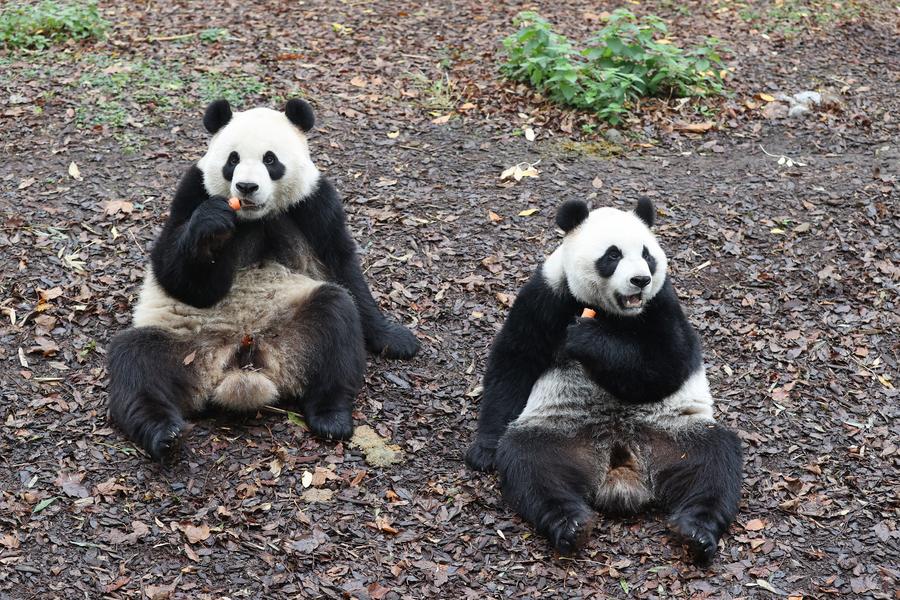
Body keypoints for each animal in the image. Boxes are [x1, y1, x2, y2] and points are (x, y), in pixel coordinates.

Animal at [107, 98, 420, 461]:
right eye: (232, 160)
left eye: (270, 160)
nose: (246, 187)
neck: (253, 217)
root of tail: (241, 363)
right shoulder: (193, 191)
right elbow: (177, 277)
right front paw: (210, 230)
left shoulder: (314, 202)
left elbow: (343, 268)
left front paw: (394, 338)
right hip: (185, 347)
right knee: (135, 362)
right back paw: (162, 433)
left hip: (294, 330)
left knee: (336, 319)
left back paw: (331, 417)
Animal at [465, 198, 742, 564]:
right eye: (612, 255)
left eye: (647, 254)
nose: (640, 280)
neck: (613, 313)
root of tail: (622, 471)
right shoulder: (547, 294)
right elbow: (516, 359)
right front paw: (483, 450)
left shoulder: (662, 302)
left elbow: (667, 364)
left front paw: (586, 339)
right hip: (561, 432)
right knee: (530, 464)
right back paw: (570, 524)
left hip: (675, 433)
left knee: (715, 462)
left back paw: (696, 531)